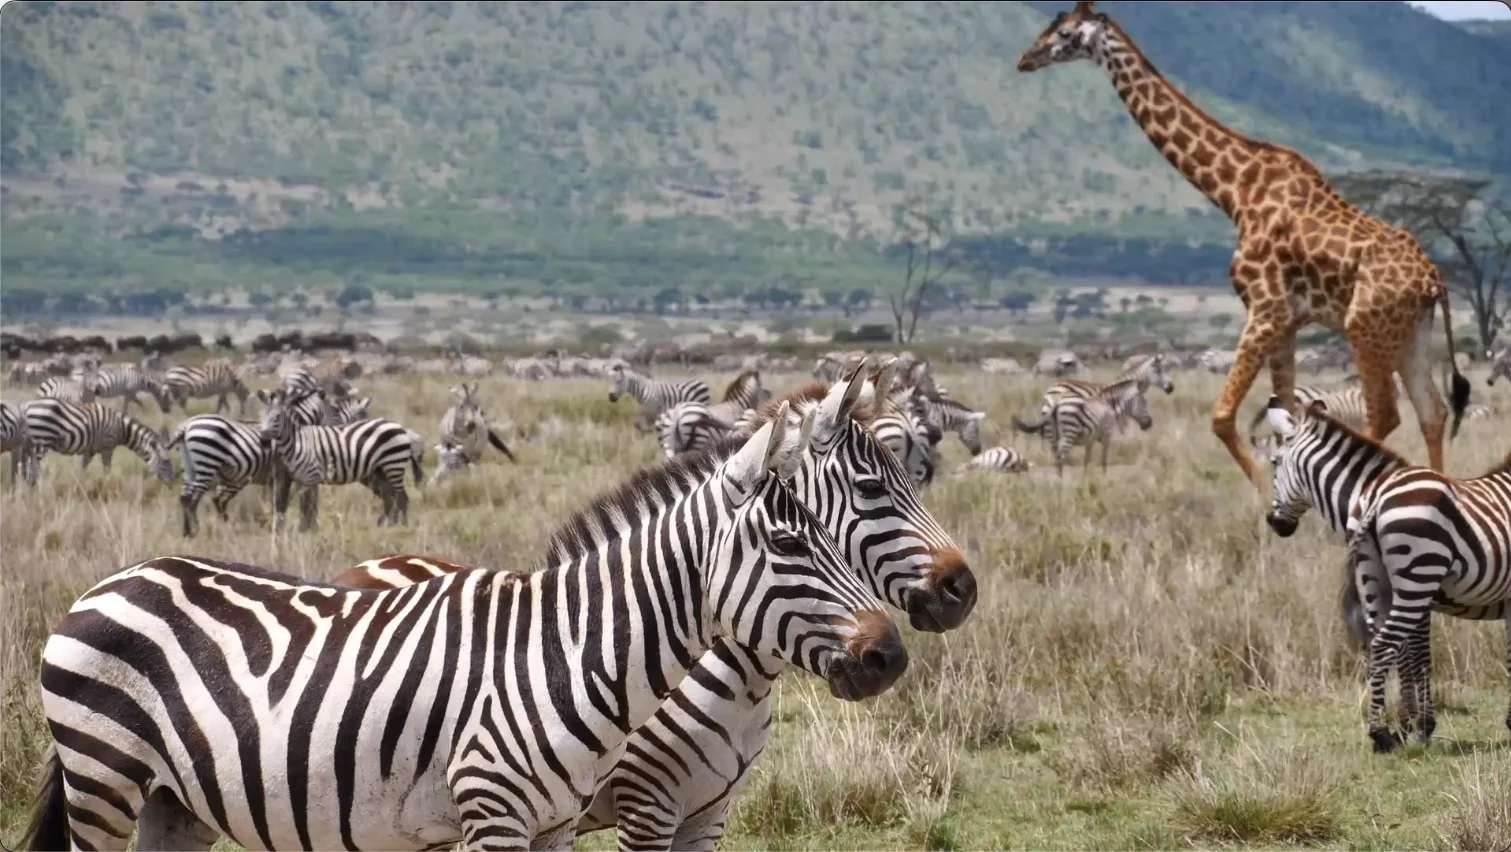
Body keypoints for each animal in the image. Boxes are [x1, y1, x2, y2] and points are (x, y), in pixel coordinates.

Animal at [20, 398, 174, 485]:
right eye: (165, 462)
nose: (172, 483)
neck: (121, 428)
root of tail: (26, 406)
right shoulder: (108, 447)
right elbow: (107, 469)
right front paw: (106, 485)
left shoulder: (90, 450)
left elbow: (83, 469)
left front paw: (82, 486)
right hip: (42, 440)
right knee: (33, 468)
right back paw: (35, 487)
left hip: (30, 443)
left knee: (26, 467)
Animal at [20, 407, 906, 852]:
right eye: (789, 542)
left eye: (834, 534)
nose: (890, 654)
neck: (570, 655)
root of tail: (119, 577)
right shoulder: (502, 812)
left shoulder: (558, 826)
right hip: (103, 776)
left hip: (175, 802)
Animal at [256, 388, 421, 528]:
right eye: (261, 416)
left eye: (277, 417)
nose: (263, 440)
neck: (298, 440)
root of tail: (400, 428)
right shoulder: (299, 479)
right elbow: (298, 505)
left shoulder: (310, 477)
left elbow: (306, 506)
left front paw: (307, 530)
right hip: (381, 471)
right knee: (391, 498)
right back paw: (388, 526)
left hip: (393, 466)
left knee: (401, 498)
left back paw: (402, 528)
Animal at [1014, 378, 1152, 477]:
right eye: (1144, 402)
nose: (1150, 423)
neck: (1110, 404)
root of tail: (1056, 402)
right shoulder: (1107, 434)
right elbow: (1104, 459)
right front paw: (1104, 478)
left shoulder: (1089, 440)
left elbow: (1087, 460)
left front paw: (1086, 479)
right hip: (1068, 432)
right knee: (1060, 457)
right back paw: (1060, 484)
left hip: (1052, 434)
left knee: (1055, 457)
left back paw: (1058, 480)